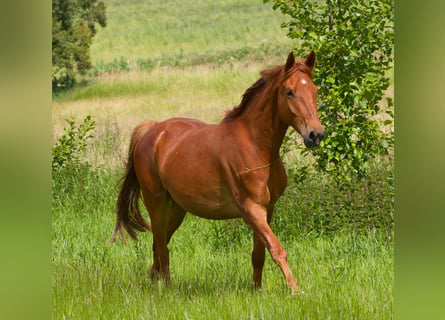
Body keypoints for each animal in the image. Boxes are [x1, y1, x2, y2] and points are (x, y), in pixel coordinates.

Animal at [112, 52, 322, 292]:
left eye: (315, 90)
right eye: (289, 92)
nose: (316, 134)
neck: (257, 146)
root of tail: (152, 130)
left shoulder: (267, 209)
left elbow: (259, 254)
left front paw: (257, 291)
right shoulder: (251, 209)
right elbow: (276, 249)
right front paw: (294, 289)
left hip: (176, 210)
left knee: (159, 244)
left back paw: (155, 280)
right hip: (157, 206)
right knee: (162, 248)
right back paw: (168, 288)